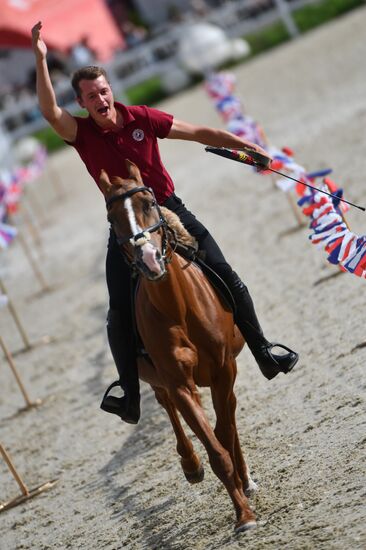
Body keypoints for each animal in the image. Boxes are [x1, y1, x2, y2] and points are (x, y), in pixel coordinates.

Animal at [98, 162, 258, 532]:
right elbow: (215, 450)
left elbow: (224, 431)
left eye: (149, 204)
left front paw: (243, 492)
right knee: (166, 404)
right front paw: (243, 515)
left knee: (228, 414)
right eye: (112, 219)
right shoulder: (179, 383)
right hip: (156, 379)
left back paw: (246, 479)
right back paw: (190, 464)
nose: (148, 258)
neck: (178, 306)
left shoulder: (224, 369)